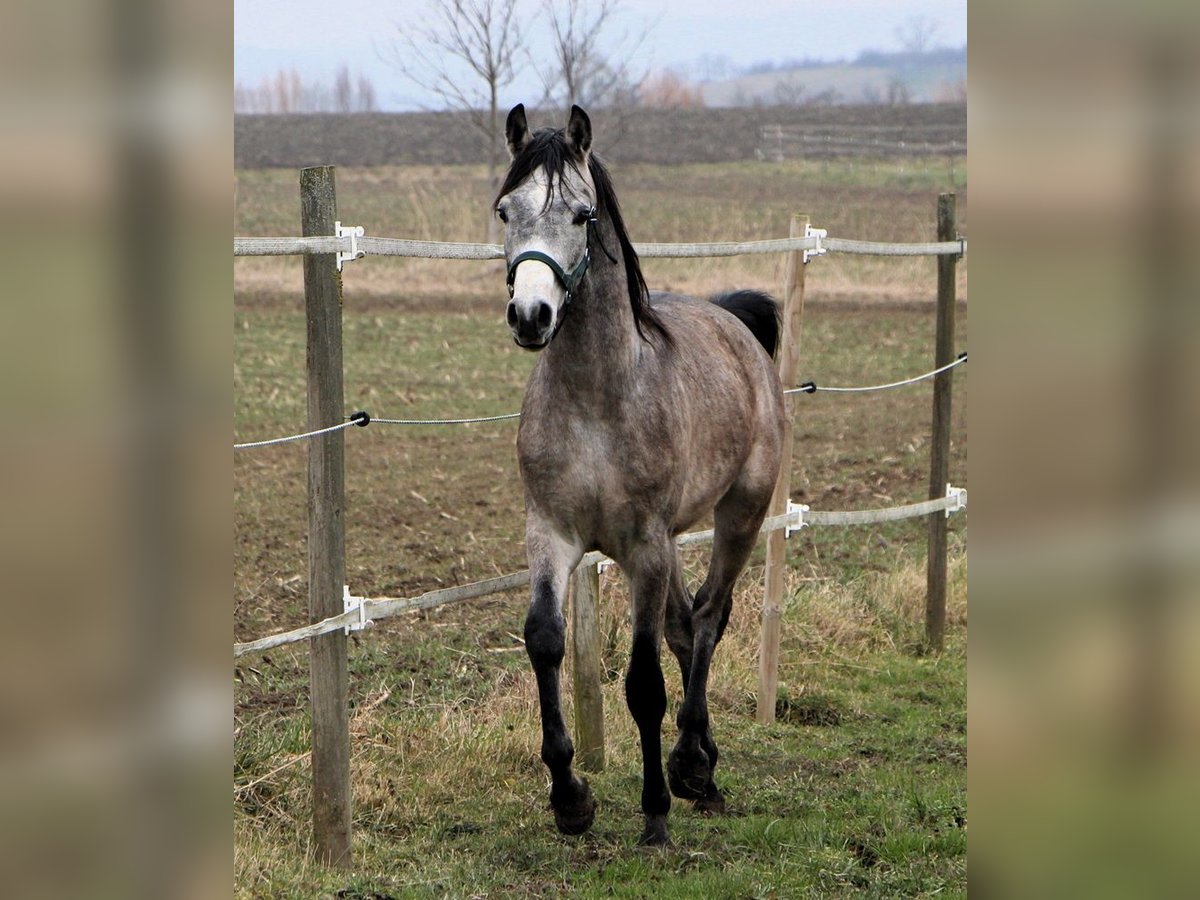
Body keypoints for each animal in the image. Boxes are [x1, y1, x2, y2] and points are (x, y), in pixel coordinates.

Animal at [496, 105, 787, 854]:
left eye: (582, 213)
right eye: (504, 210)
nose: (531, 317)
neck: (598, 399)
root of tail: (731, 320)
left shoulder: (644, 548)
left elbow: (644, 683)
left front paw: (655, 812)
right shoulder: (551, 533)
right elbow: (545, 640)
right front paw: (570, 799)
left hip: (739, 514)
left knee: (709, 619)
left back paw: (689, 768)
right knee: (687, 628)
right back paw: (702, 769)